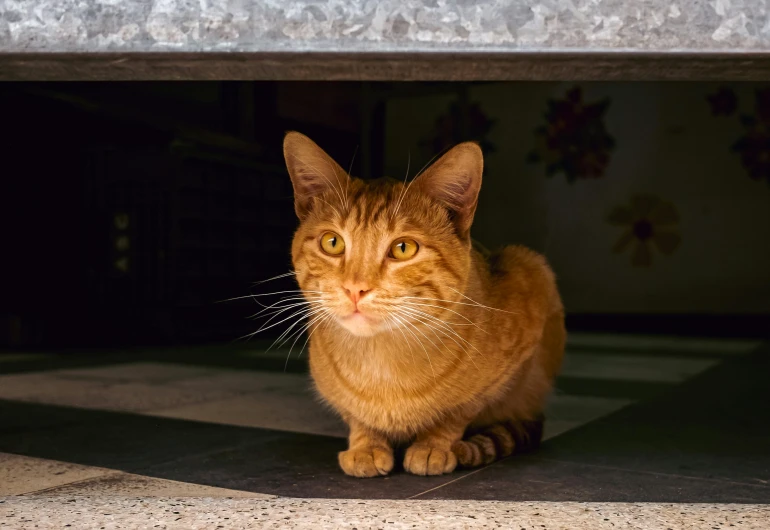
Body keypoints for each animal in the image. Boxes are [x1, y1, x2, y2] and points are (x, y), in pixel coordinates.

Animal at [282, 131, 564, 474]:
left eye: (403, 248)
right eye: (332, 242)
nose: (355, 289)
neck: (380, 363)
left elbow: (458, 412)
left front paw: (433, 446)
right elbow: (355, 416)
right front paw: (366, 445)